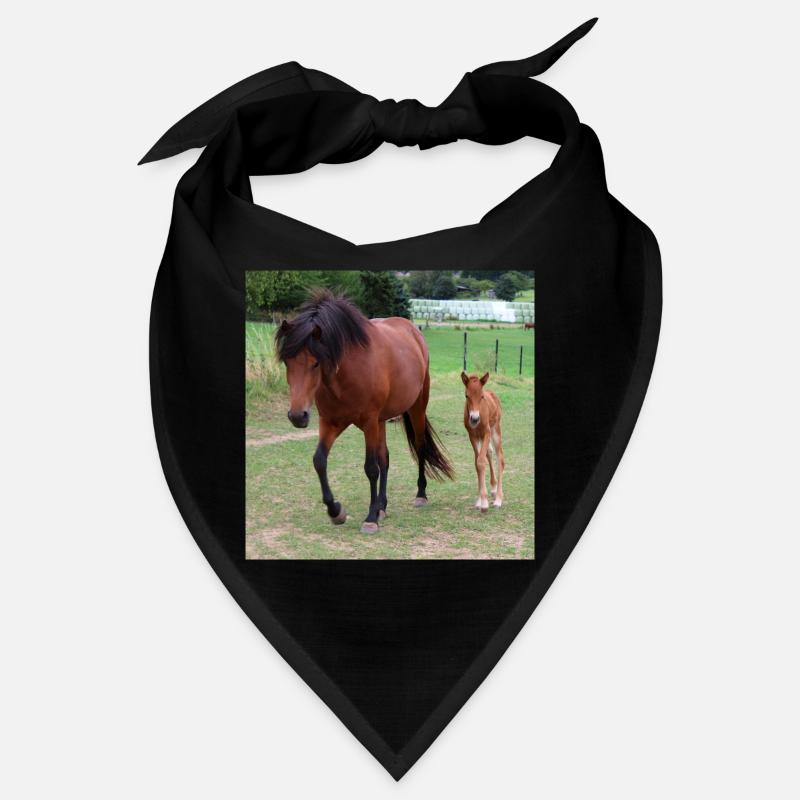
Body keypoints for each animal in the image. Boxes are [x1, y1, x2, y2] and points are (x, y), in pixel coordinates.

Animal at [276, 290, 454, 534]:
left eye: (315, 363)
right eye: (287, 362)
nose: (297, 415)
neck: (347, 373)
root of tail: (414, 331)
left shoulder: (368, 422)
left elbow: (370, 468)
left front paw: (370, 518)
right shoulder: (331, 422)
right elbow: (319, 461)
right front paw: (336, 511)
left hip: (416, 408)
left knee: (419, 448)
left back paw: (420, 495)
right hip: (381, 421)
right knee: (385, 457)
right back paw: (382, 506)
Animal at [461, 371, 505, 511]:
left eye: (481, 397)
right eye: (466, 395)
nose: (474, 419)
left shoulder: (487, 432)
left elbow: (481, 461)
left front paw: (485, 503)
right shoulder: (472, 436)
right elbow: (477, 463)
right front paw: (480, 500)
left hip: (495, 430)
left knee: (500, 458)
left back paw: (498, 499)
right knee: (489, 453)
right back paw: (493, 488)